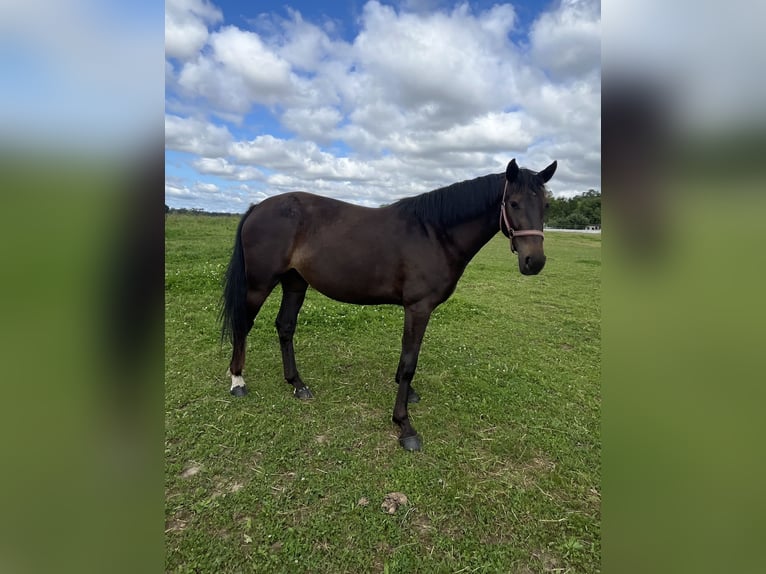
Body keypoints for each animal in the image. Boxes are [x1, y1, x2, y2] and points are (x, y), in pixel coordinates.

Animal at [219, 160, 560, 452]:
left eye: (545, 205)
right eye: (513, 203)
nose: (535, 262)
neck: (434, 232)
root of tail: (258, 208)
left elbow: (407, 356)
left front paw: (408, 395)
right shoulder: (418, 307)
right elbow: (410, 361)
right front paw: (404, 426)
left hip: (294, 282)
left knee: (285, 326)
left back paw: (297, 384)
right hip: (259, 284)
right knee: (244, 325)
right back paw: (237, 381)